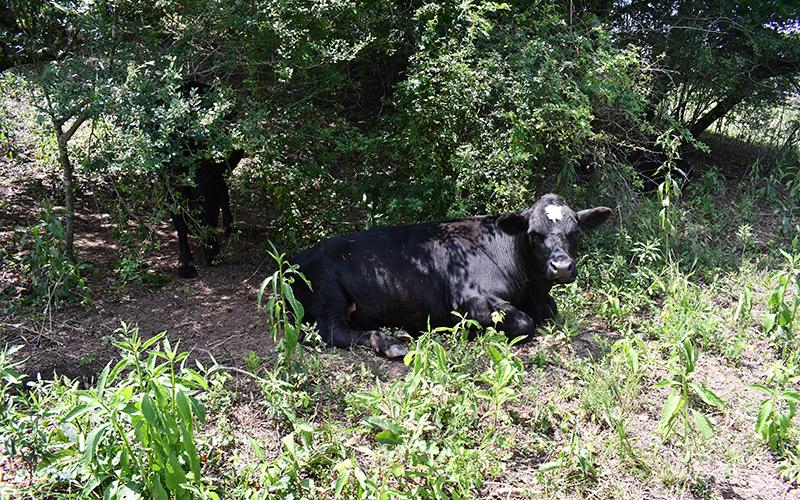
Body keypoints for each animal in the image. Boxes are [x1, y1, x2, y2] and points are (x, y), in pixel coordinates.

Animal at [292, 194, 612, 357]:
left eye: (575, 231)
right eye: (534, 233)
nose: (562, 266)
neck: (532, 290)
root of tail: (297, 257)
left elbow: (550, 312)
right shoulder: (470, 299)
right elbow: (525, 322)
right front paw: (467, 332)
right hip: (330, 295)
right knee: (333, 332)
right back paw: (389, 343)